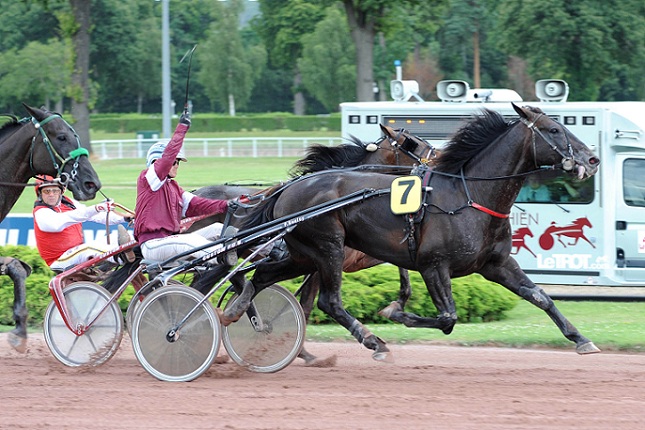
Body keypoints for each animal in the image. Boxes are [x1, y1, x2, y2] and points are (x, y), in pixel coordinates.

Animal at [226, 104, 600, 360]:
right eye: (553, 129)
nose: (592, 159)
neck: (469, 195)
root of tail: (286, 190)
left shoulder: (496, 264)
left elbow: (541, 296)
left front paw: (581, 339)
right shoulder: (434, 265)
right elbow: (448, 318)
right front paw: (394, 312)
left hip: (304, 254)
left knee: (261, 277)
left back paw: (237, 310)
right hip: (327, 248)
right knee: (328, 301)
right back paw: (373, 341)